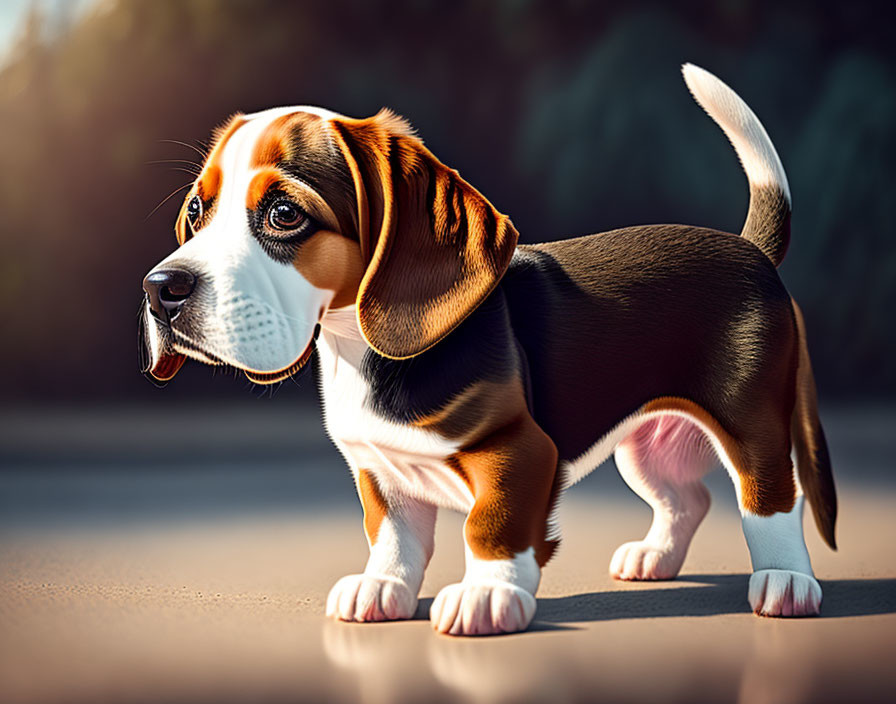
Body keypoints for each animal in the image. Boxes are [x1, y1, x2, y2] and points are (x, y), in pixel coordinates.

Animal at [140, 66, 840, 636]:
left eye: (284, 214)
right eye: (197, 212)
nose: (160, 291)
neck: (357, 352)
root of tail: (748, 247)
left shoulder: (518, 452)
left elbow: (491, 526)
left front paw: (487, 595)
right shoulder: (378, 468)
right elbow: (393, 536)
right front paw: (383, 586)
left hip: (751, 424)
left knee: (771, 498)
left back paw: (786, 583)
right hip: (645, 446)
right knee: (688, 498)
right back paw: (654, 559)